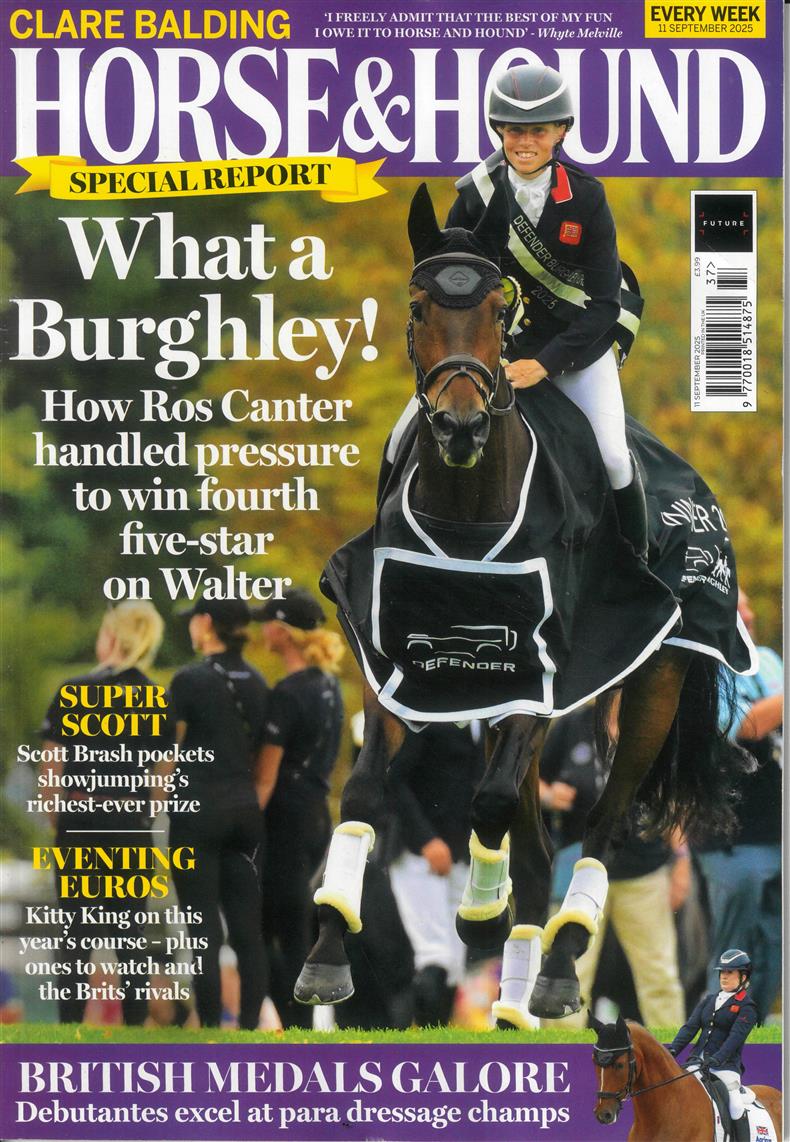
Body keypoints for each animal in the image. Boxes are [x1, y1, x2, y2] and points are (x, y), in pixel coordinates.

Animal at [293, 182, 755, 1025]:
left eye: (497, 307)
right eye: (417, 307)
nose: (461, 426)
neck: (468, 507)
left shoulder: (541, 671)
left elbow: (492, 800)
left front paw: (480, 911)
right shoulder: (396, 663)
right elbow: (370, 791)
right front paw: (327, 955)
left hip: (654, 683)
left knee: (599, 826)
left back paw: (558, 966)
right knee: (539, 842)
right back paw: (514, 999)